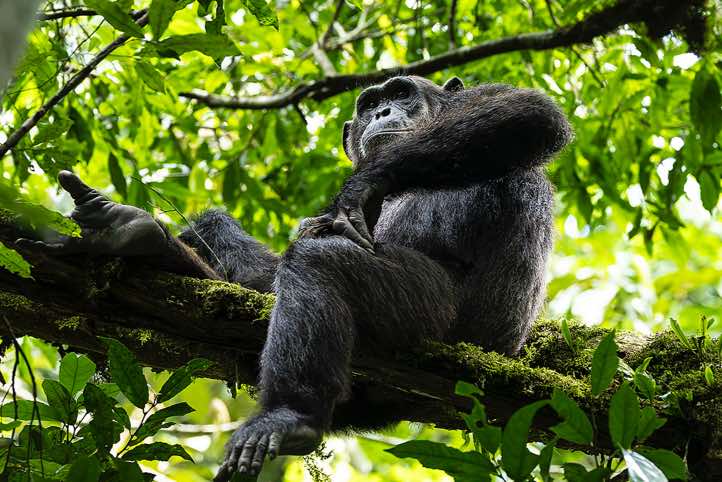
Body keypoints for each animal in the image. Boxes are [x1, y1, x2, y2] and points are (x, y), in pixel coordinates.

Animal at [16, 75, 572, 479]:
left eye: (401, 95)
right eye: (370, 104)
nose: (383, 113)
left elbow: (525, 112)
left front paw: (361, 188)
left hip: (438, 320)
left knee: (319, 264)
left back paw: (291, 417)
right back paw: (132, 233)